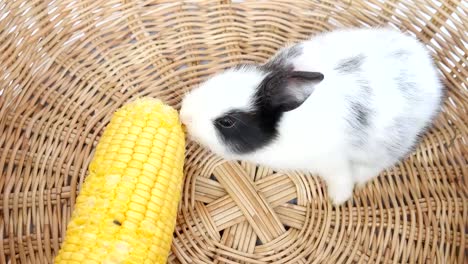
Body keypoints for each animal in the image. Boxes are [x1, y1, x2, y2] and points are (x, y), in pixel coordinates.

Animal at [178, 27, 442, 204]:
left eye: (227, 122)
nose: (184, 115)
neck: (284, 127)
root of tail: (429, 69)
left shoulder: (333, 161)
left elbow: (341, 178)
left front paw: (338, 199)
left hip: (387, 145)